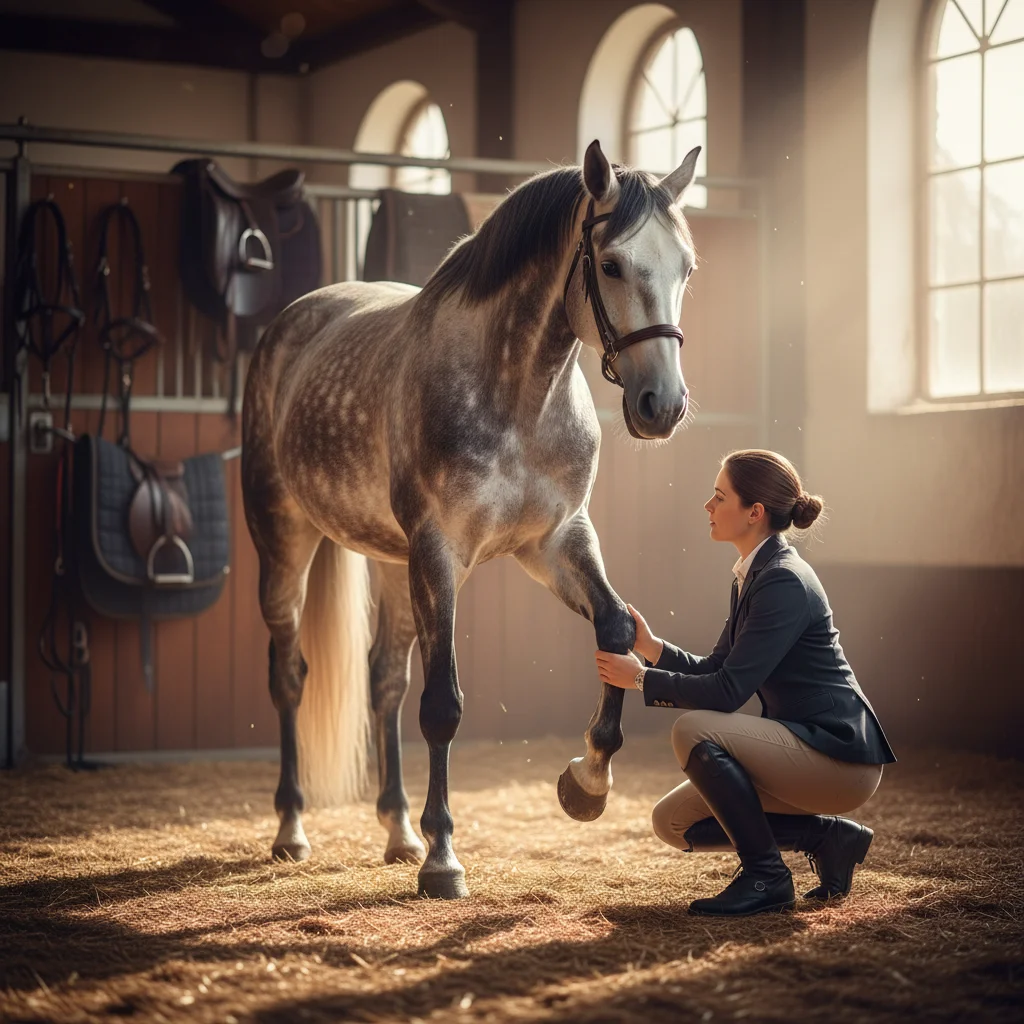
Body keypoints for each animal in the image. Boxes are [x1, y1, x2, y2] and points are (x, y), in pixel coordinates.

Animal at [241, 140, 701, 899]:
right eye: (610, 264)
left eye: (686, 268)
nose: (661, 406)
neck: (518, 393)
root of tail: (295, 320)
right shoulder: (439, 553)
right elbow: (444, 705)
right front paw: (443, 859)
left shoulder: (556, 541)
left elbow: (615, 631)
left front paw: (587, 782)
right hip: (285, 539)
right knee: (288, 676)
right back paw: (292, 830)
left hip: (394, 566)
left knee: (384, 682)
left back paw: (397, 831)